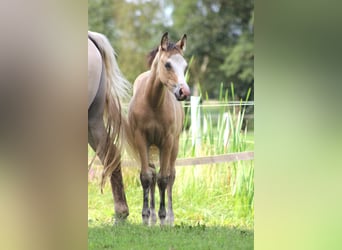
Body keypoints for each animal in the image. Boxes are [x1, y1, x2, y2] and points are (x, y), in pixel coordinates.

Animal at [128, 32, 191, 226]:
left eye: (185, 66)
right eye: (168, 64)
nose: (184, 92)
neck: (153, 103)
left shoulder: (167, 141)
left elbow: (164, 179)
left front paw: (164, 218)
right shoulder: (141, 140)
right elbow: (146, 177)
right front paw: (146, 217)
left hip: (174, 146)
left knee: (171, 176)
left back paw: (169, 218)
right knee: (153, 176)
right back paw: (153, 217)